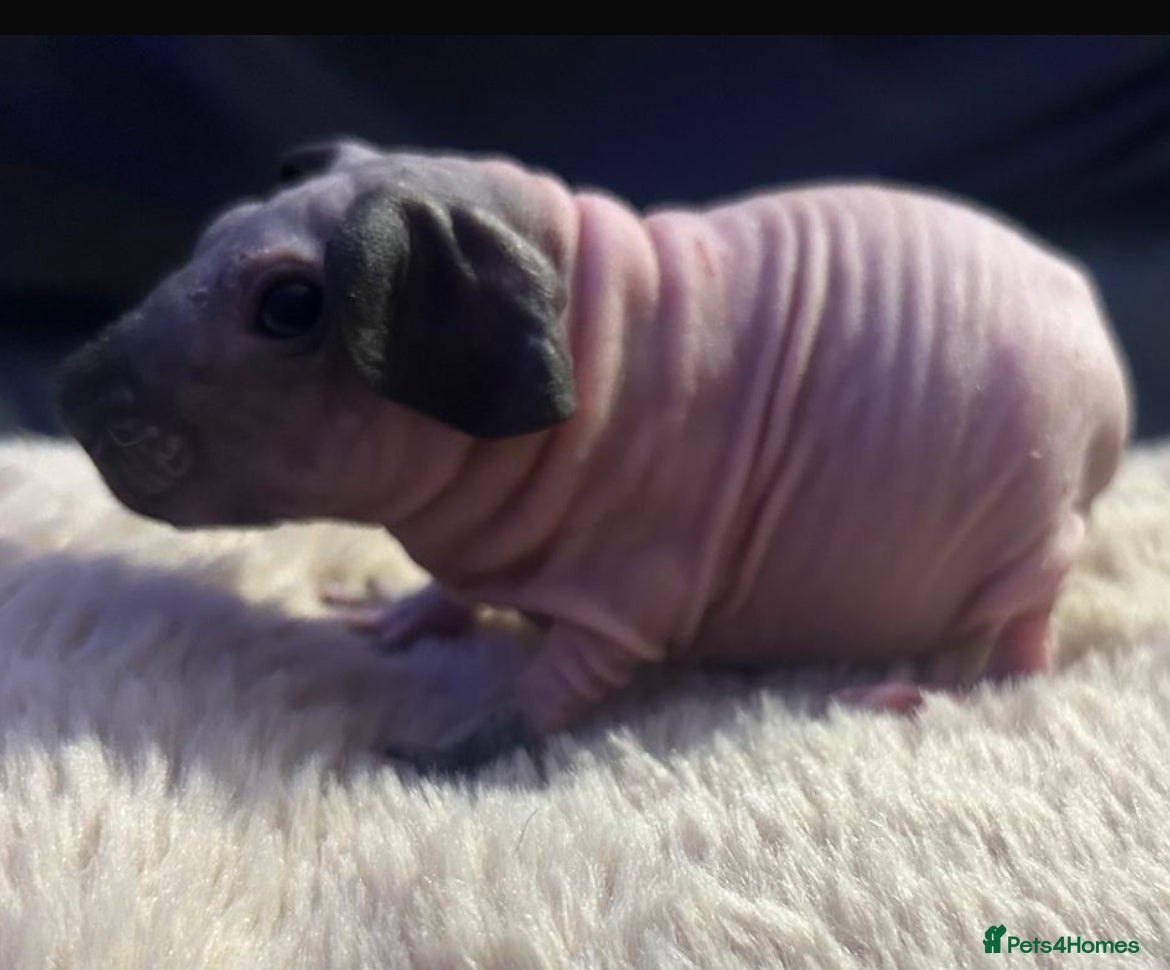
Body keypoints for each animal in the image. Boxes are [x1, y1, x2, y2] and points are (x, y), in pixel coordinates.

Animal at [55, 140, 1131, 769]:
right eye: (215, 231)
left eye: (287, 305)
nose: (71, 392)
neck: (579, 303)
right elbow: (451, 589)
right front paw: (401, 612)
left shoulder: (624, 593)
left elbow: (546, 693)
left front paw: (439, 750)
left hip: (1027, 542)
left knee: (1017, 658)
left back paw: (919, 688)